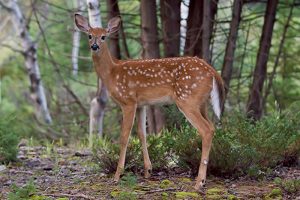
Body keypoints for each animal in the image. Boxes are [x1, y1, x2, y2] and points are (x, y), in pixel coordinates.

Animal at [74, 14, 225, 191]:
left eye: (104, 36)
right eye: (89, 35)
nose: (95, 46)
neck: (111, 73)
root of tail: (212, 71)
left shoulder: (128, 101)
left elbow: (124, 136)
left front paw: (117, 175)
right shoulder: (141, 105)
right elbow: (142, 134)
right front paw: (148, 170)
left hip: (187, 99)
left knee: (206, 129)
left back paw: (199, 182)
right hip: (202, 103)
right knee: (212, 127)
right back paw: (203, 179)